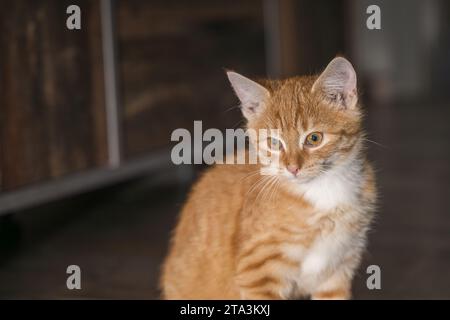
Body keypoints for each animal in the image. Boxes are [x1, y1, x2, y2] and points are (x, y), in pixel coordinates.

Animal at [161, 56, 376, 298]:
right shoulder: (257, 271)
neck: (324, 190)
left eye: (314, 138)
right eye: (274, 142)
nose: (292, 168)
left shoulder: (339, 268)